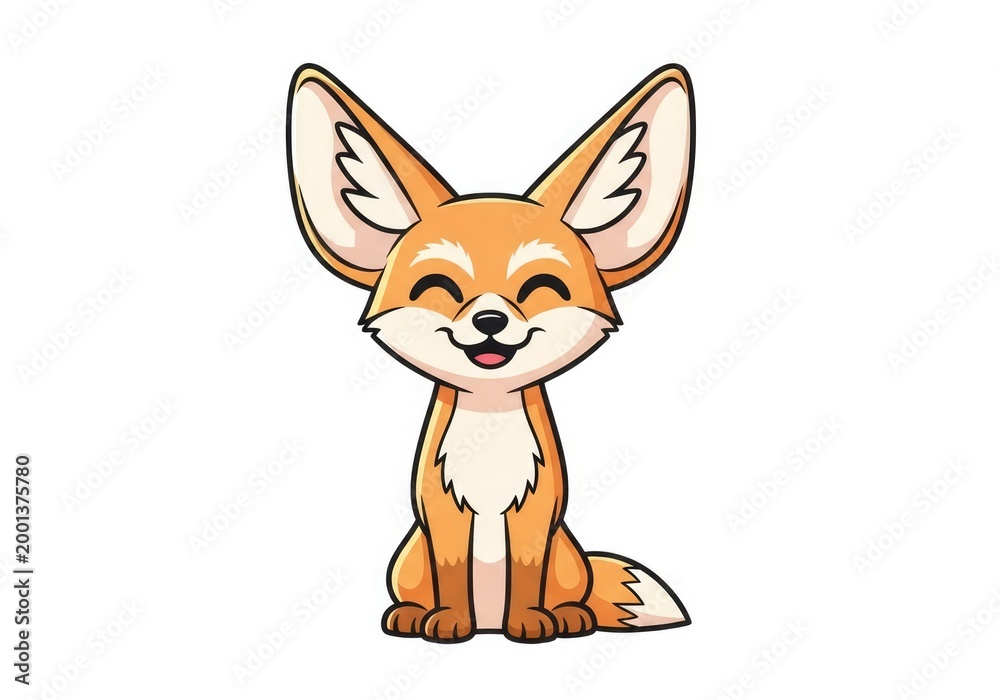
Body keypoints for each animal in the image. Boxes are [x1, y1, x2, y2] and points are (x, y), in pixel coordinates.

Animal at [286, 62, 695, 643]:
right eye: (438, 287)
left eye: (541, 287)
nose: (490, 321)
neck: (489, 428)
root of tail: (488, 625)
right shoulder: (441, 512)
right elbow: (453, 574)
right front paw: (448, 622)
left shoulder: (535, 512)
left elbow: (526, 575)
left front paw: (529, 623)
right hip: (408, 558)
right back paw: (412, 615)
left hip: (567, 557)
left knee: (572, 589)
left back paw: (568, 615)